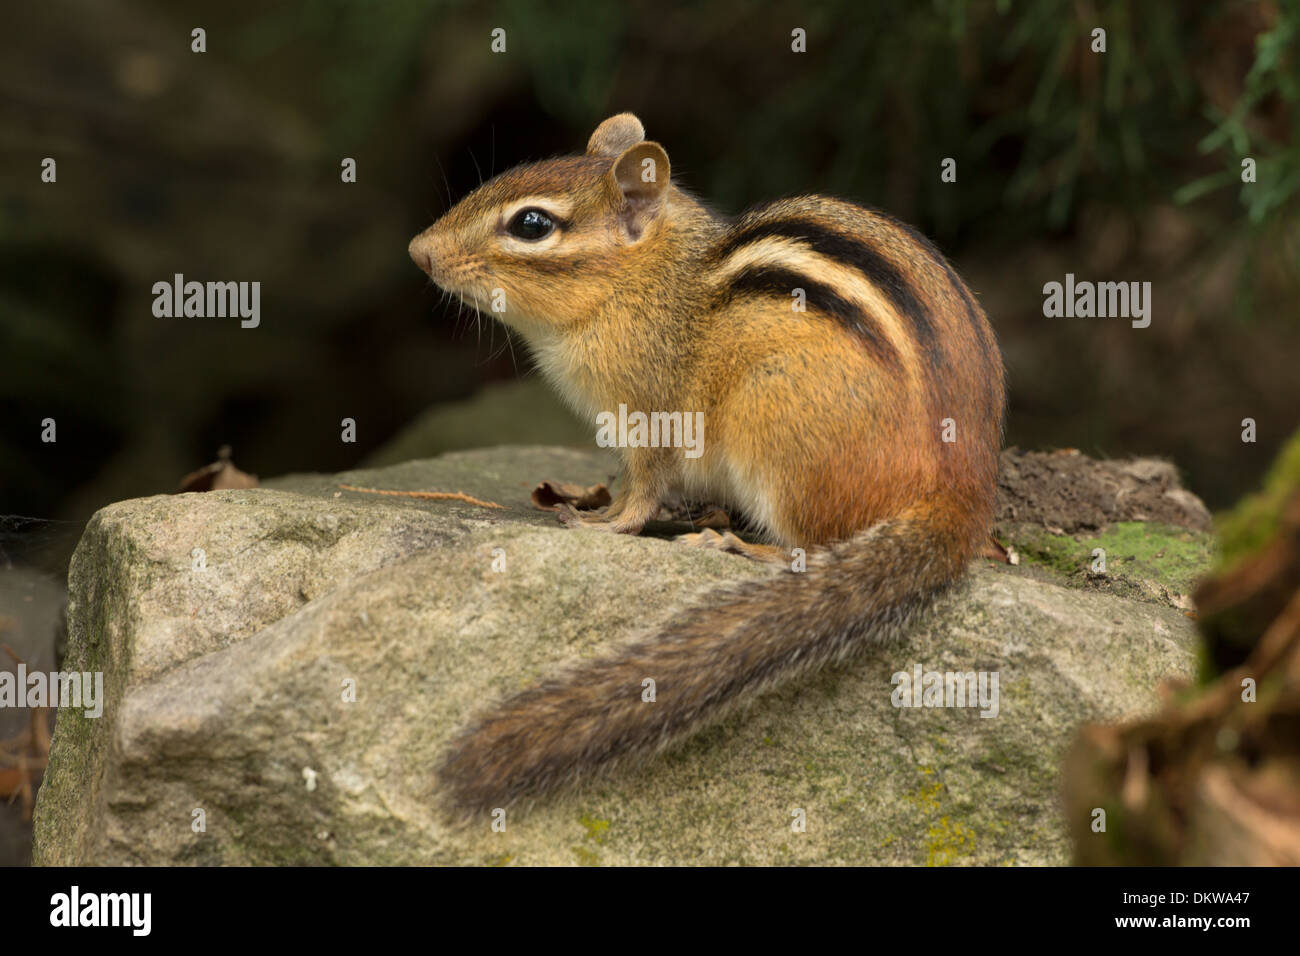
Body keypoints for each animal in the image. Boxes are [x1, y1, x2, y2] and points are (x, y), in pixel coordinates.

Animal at [408, 113, 1005, 814]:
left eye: (531, 224)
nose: (418, 251)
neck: (642, 283)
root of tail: (963, 490)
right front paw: (590, 498)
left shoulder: (652, 415)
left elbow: (645, 490)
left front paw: (606, 523)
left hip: (775, 429)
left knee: (815, 545)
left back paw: (745, 546)